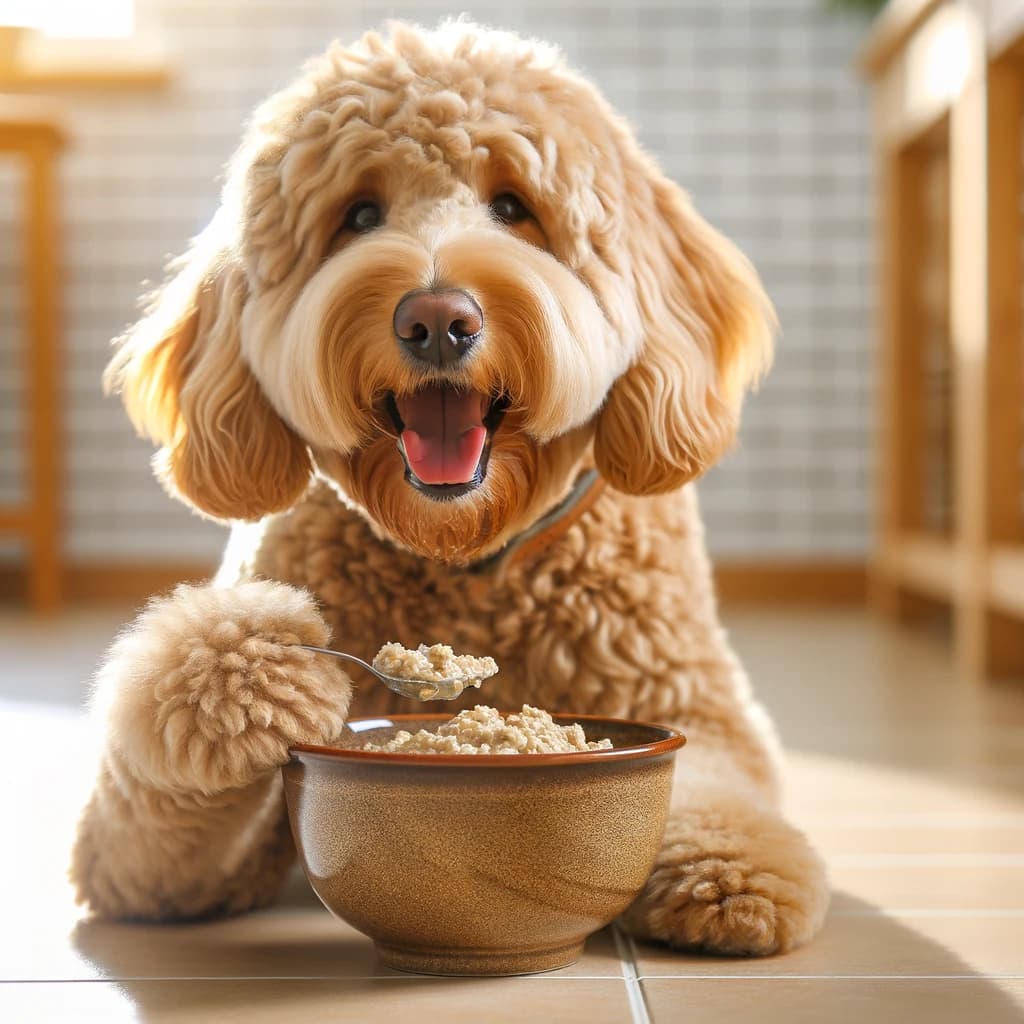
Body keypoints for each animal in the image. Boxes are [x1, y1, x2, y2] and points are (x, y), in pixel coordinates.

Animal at [75, 19, 835, 954]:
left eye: (514, 207)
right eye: (359, 215)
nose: (437, 320)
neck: (464, 555)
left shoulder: (692, 704)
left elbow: (712, 784)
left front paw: (733, 876)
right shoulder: (147, 867)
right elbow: (159, 811)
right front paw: (246, 679)